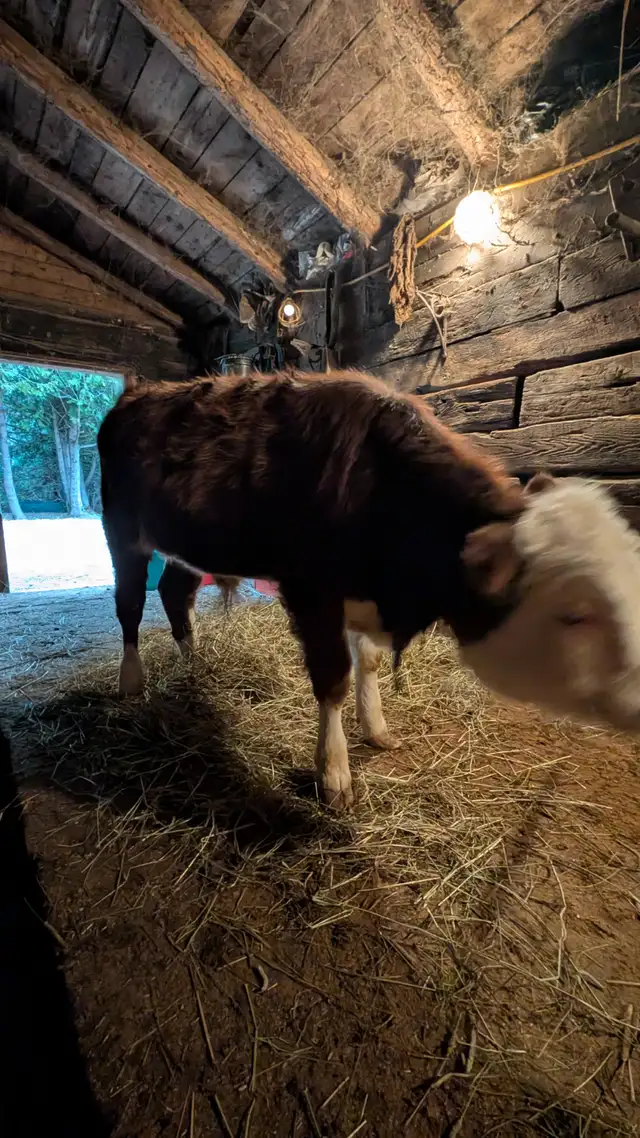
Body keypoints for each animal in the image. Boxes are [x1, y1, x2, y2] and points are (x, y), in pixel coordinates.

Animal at [98, 370, 640, 810]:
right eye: (574, 613)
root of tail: (138, 391)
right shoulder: (312, 591)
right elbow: (333, 678)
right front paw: (334, 773)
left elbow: (371, 661)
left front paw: (376, 727)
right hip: (121, 529)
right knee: (130, 605)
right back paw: (131, 681)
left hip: (186, 543)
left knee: (175, 593)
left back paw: (193, 663)